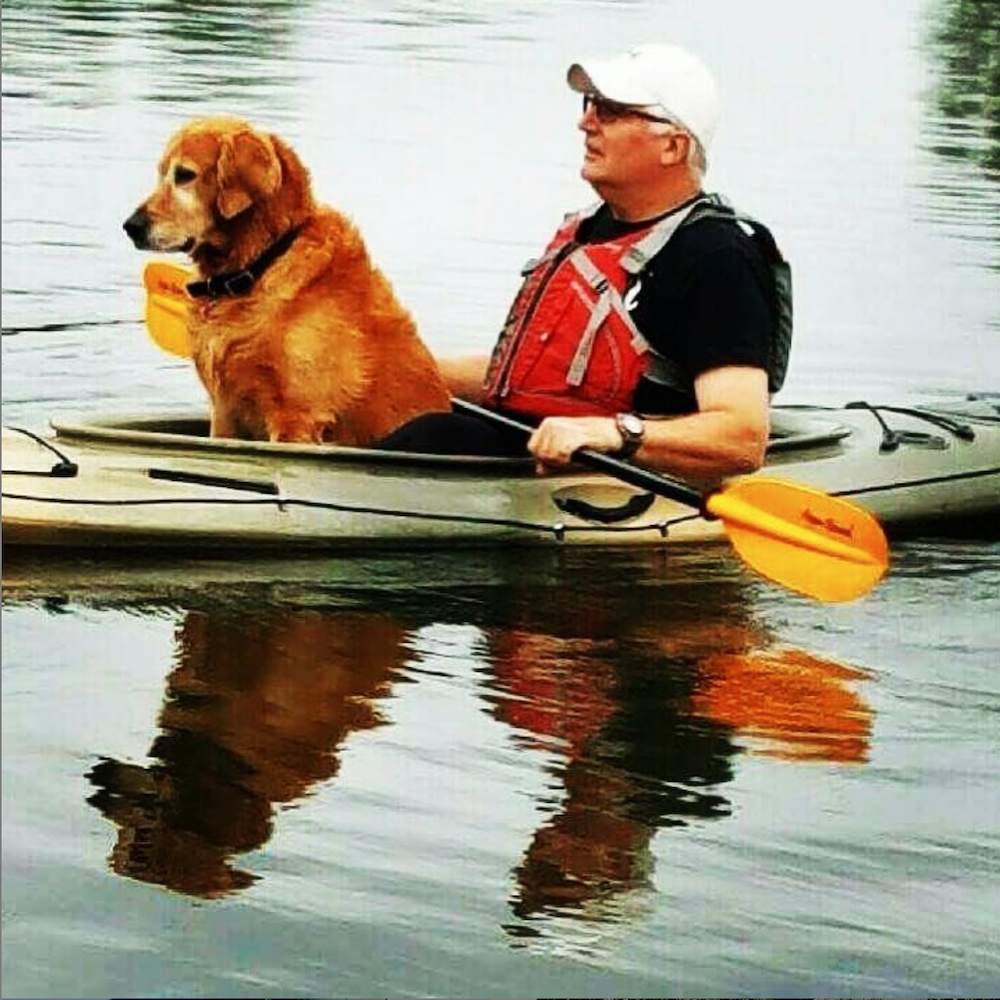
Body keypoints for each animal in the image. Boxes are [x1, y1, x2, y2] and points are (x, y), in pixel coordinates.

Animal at [124, 115, 450, 444]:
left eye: (184, 175)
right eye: (162, 173)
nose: (130, 226)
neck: (260, 264)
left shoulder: (296, 419)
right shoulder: (225, 414)